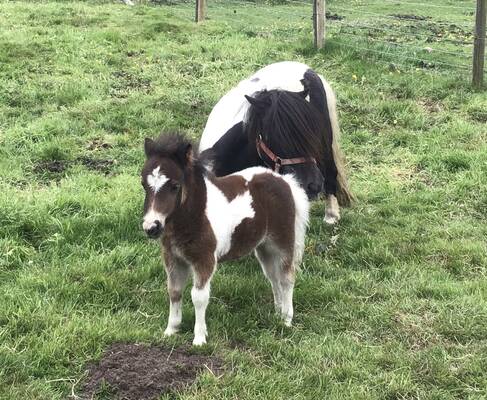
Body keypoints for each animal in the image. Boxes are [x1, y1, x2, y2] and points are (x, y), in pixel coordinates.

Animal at [141, 133, 308, 346]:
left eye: (175, 186)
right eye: (144, 185)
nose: (151, 227)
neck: (195, 215)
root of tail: (285, 181)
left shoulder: (204, 260)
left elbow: (199, 297)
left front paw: (199, 338)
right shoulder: (173, 258)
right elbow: (174, 290)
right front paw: (171, 330)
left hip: (283, 242)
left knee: (287, 278)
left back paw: (286, 320)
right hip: (265, 248)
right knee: (273, 277)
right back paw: (278, 315)